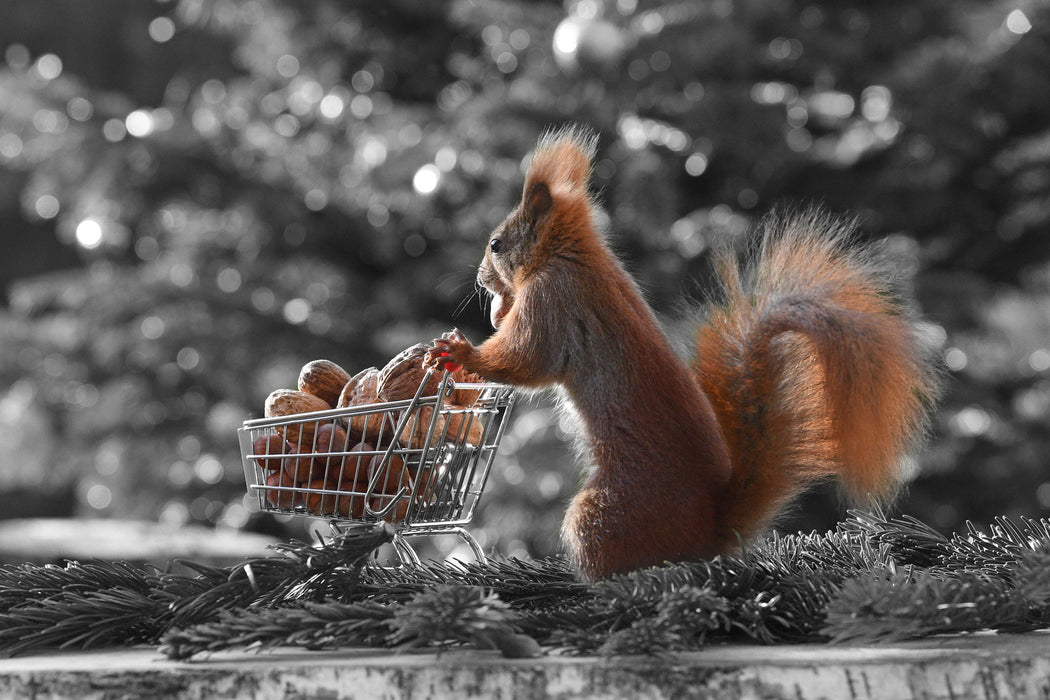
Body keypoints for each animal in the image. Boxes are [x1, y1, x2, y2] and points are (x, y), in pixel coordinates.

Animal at [426, 125, 944, 579]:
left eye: (496, 245)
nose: (481, 280)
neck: (571, 256)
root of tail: (710, 532)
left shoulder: (554, 301)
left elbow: (526, 359)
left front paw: (463, 352)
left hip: (603, 513)